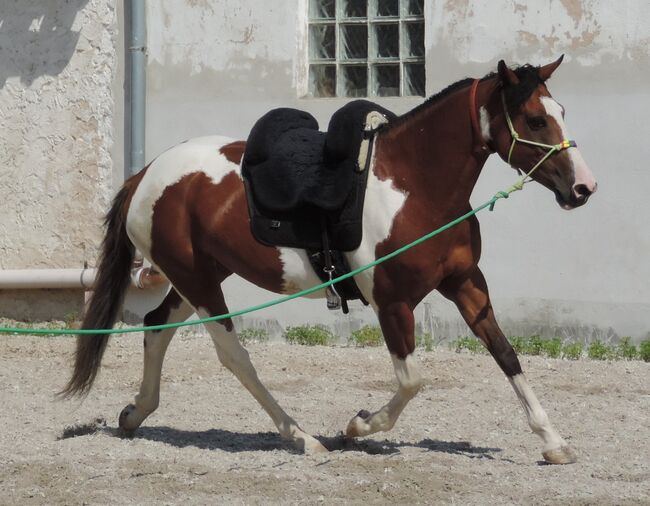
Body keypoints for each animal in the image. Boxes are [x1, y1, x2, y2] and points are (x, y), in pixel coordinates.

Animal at [62, 57, 597, 464]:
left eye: (562, 110)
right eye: (535, 120)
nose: (583, 188)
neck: (414, 186)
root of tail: (147, 174)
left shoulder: (467, 283)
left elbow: (506, 354)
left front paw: (554, 443)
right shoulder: (392, 304)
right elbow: (413, 380)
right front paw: (358, 426)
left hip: (198, 274)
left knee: (157, 326)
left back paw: (136, 413)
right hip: (199, 282)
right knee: (234, 356)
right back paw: (301, 437)